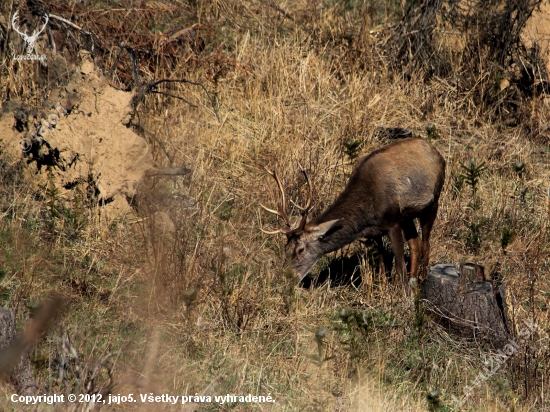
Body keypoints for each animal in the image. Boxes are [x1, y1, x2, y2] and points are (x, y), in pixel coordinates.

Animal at [260, 137, 446, 288]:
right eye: (285, 249)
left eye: (300, 250)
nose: (287, 278)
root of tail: (437, 152)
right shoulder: (377, 231)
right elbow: (382, 263)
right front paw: (383, 287)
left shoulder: (393, 221)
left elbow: (399, 266)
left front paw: (404, 293)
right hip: (408, 216)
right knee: (415, 244)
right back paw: (414, 279)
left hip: (433, 201)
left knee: (426, 243)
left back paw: (422, 280)